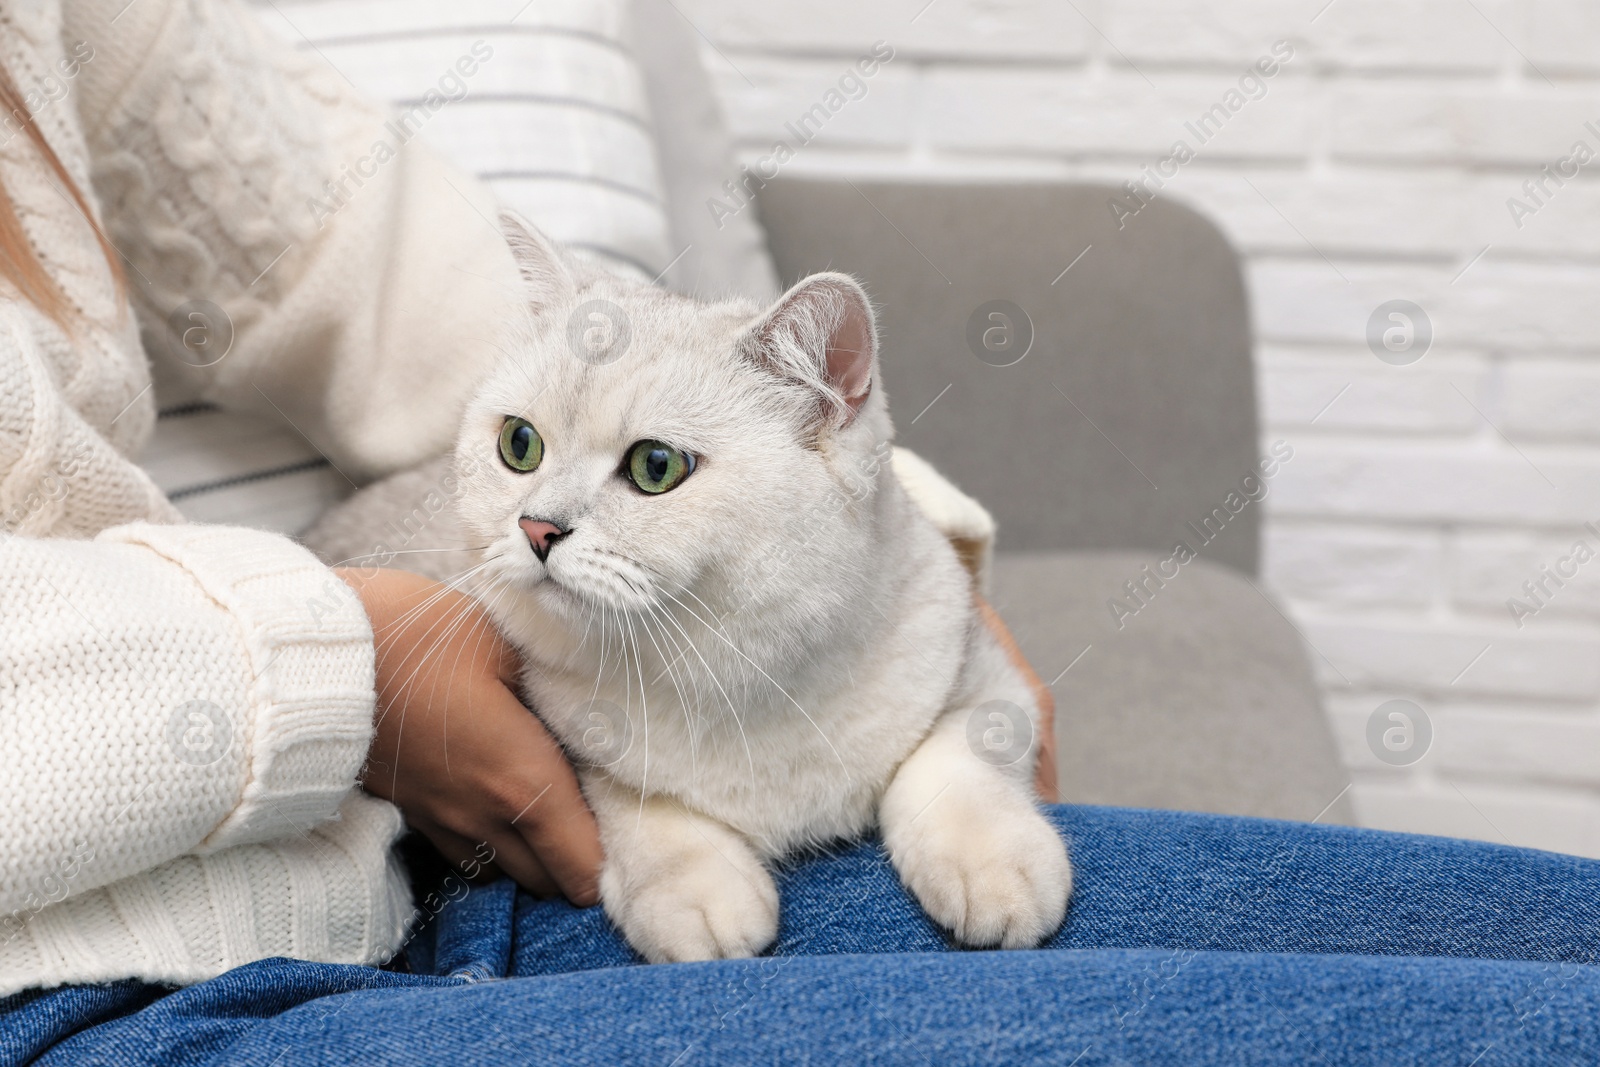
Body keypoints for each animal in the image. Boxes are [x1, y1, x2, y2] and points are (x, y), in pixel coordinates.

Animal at [304, 214, 1068, 959]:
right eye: (519, 445)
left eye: (656, 465)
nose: (537, 527)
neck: (742, 672)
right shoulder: (570, 742)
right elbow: (629, 798)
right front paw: (698, 894)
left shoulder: (981, 671)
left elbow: (958, 754)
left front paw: (995, 863)